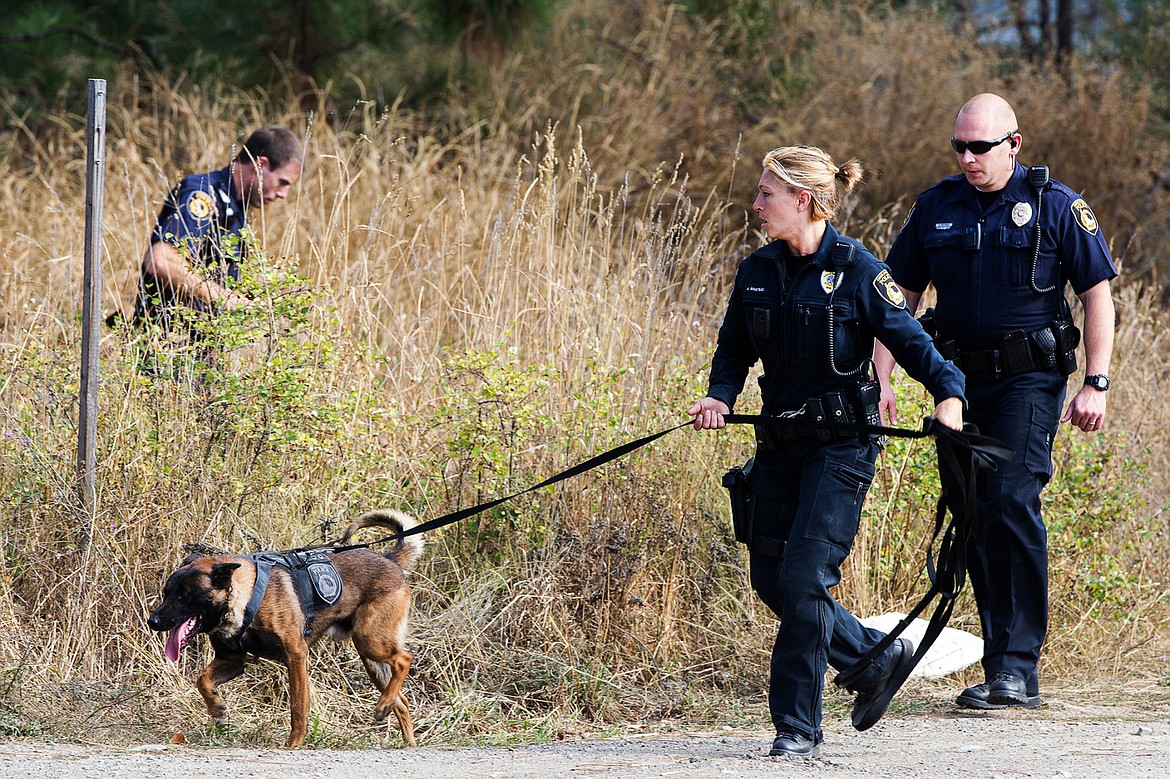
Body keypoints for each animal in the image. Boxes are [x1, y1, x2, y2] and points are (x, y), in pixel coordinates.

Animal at [147, 507, 425, 743]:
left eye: (184, 596)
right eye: (166, 593)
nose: (153, 621)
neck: (243, 594)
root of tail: (390, 560)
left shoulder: (296, 655)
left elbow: (298, 707)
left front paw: (294, 743)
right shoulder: (232, 660)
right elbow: (202, 680)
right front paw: (216, 708)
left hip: (370, 642)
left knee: (405, 659)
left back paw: (386, 705)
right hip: (372, 660)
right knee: (402, 702)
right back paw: (403, 734)